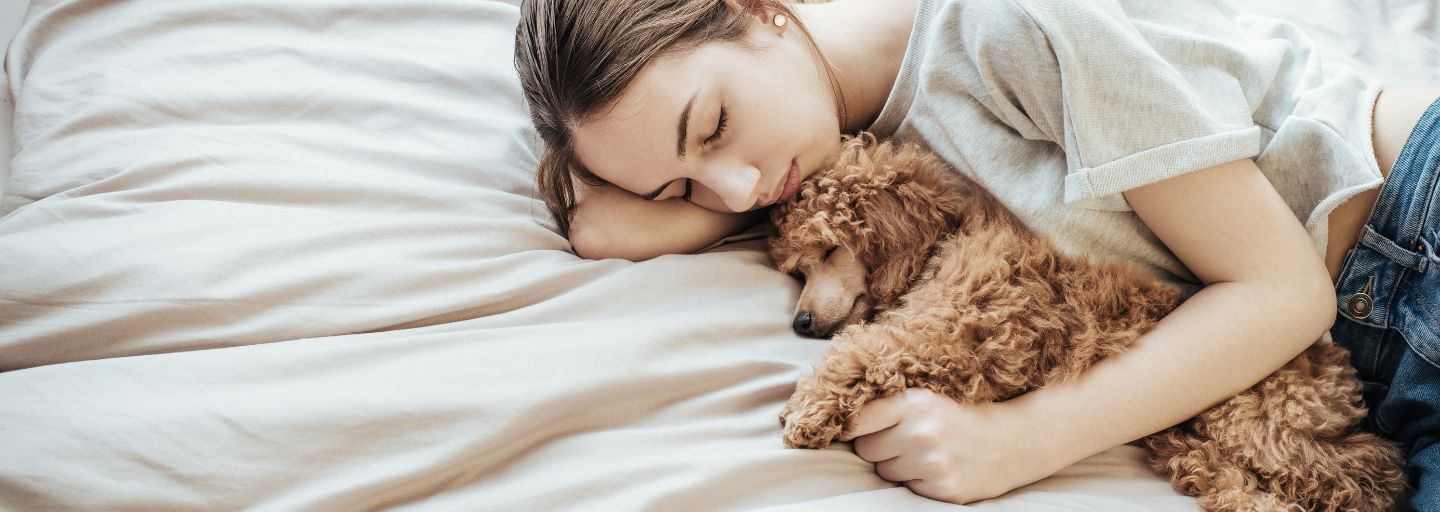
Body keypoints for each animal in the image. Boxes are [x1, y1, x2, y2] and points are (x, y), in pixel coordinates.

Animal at [771, 133, 1411, 512]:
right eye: (796, 269)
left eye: (828, 250)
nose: (800, 323)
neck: (943, 243)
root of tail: (1333, 369)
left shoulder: (955, 332)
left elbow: (865, 349)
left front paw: (810, 407)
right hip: (1189, 436)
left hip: (1255, 420)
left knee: (1368, 471)